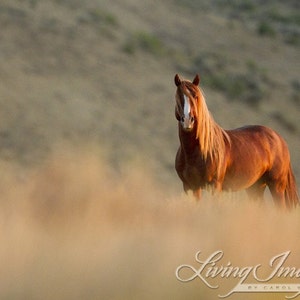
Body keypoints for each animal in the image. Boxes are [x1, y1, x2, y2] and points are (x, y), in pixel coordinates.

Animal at [172, 73, 298, 209]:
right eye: (178, 96)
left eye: (195, 96)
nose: (188, 120)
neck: (195, 152)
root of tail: (279, 139)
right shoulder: (190, 187)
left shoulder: (215, 187)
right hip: (256, 187)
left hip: (277, 186)